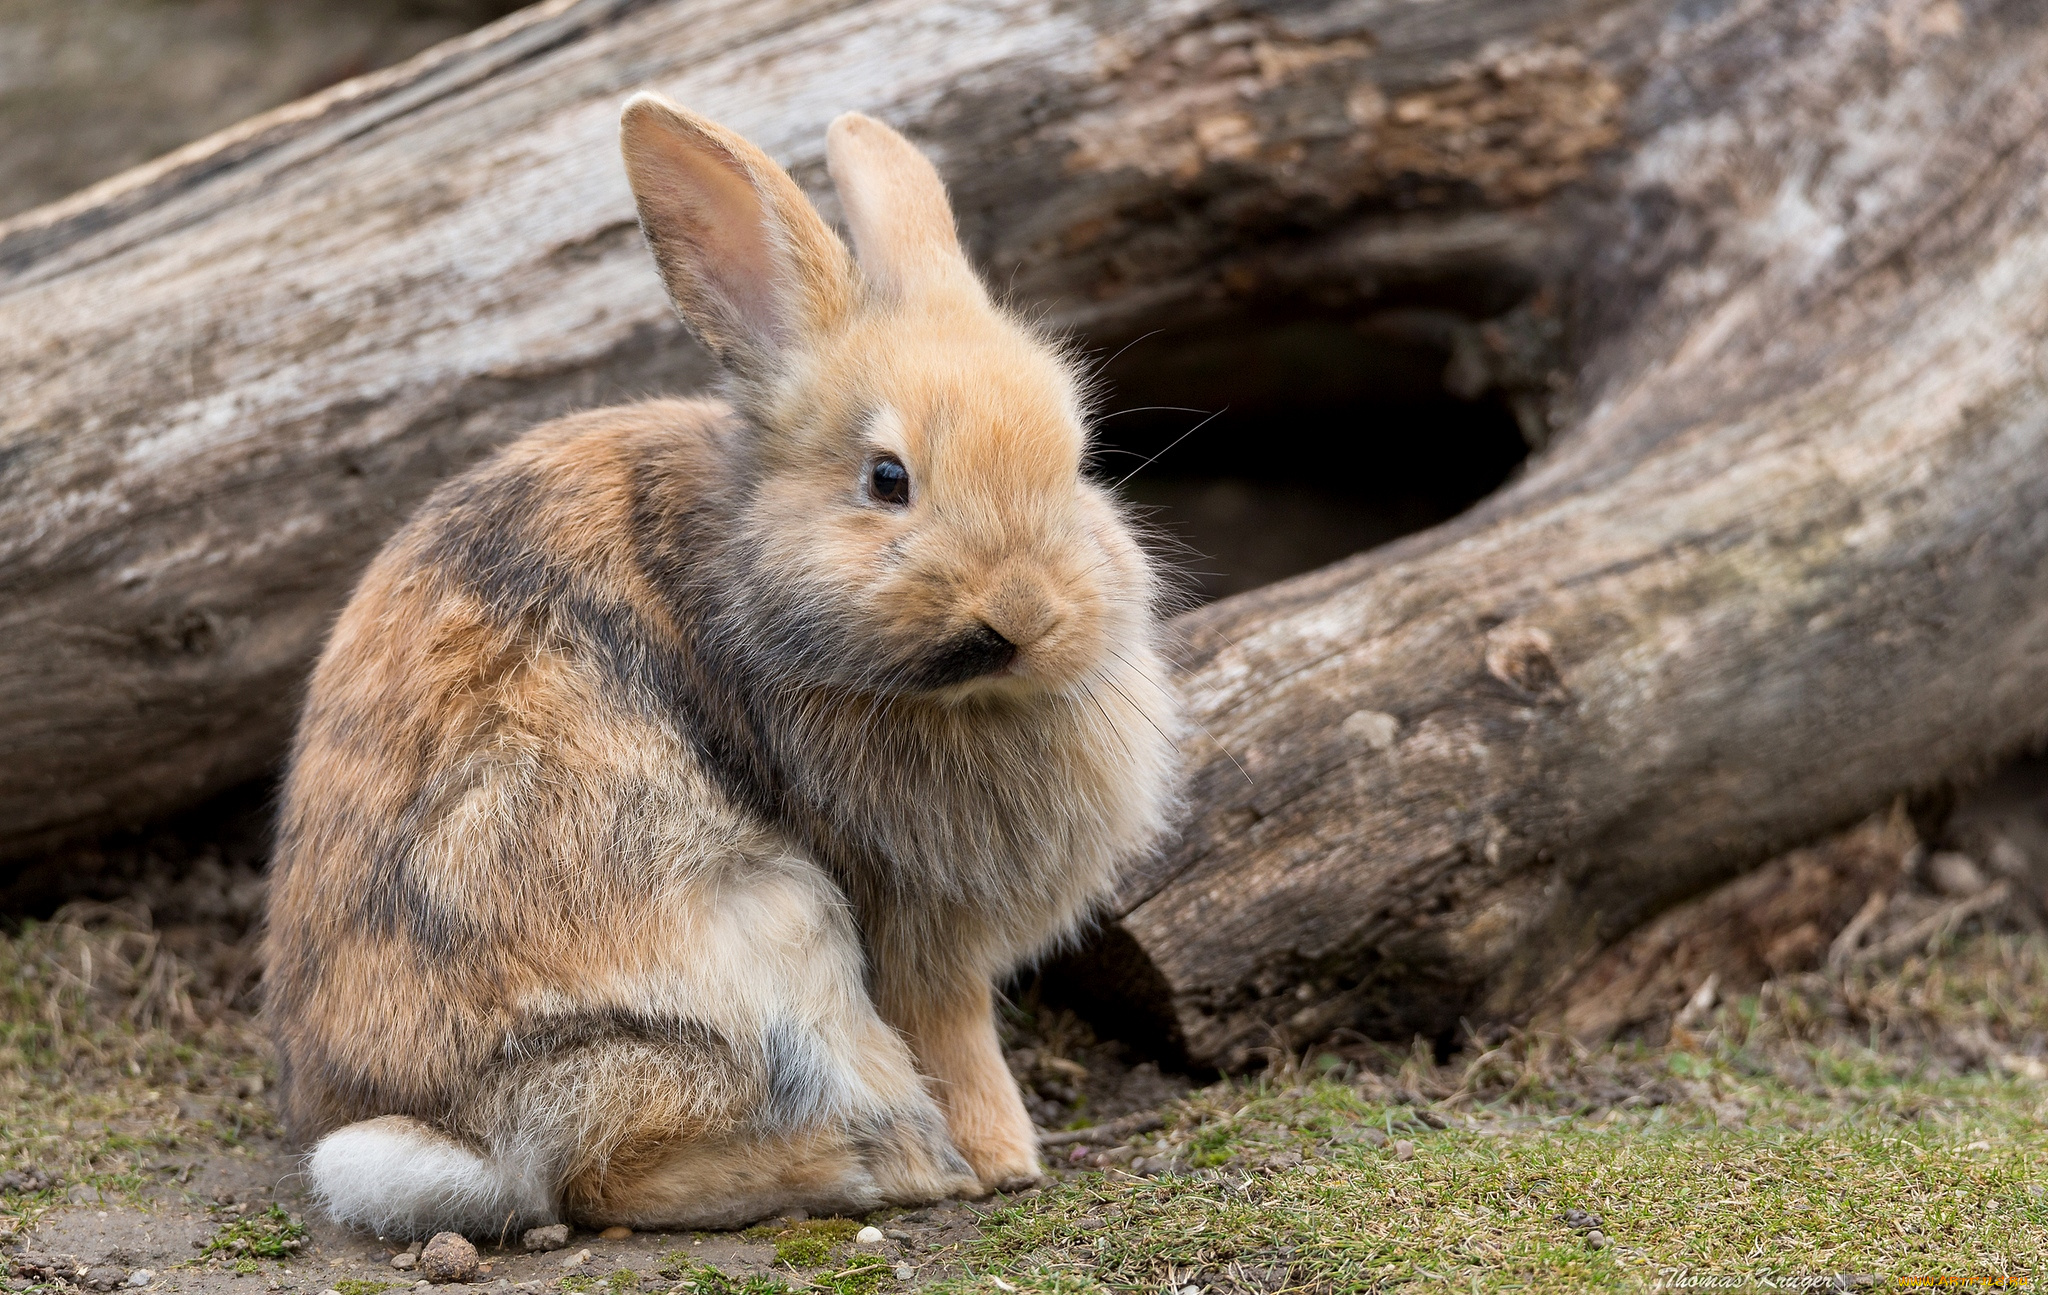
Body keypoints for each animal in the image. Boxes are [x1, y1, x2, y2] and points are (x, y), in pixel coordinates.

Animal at [260, 93, 1187, 1245]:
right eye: (888, 479)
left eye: (1078, 462)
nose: (1022, 611)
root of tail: (455, 1136)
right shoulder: (910, 926)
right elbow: (955, 1035)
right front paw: (1005, 1159)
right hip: (771, 938)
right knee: (610, 1172)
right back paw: (883, 1164)